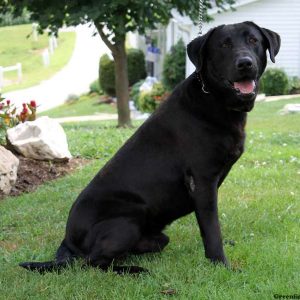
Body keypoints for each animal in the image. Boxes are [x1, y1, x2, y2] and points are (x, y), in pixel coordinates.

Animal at [19, 21, 280, 274]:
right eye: (224, 45)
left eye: (253, 40)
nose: (245, 63)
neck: (215, 99)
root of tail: (67, 240)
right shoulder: (202, 181)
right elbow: (212, 228)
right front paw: (221, 264)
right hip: (127, 220)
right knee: (94, 262)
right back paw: (134, 270)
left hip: (154, 234)